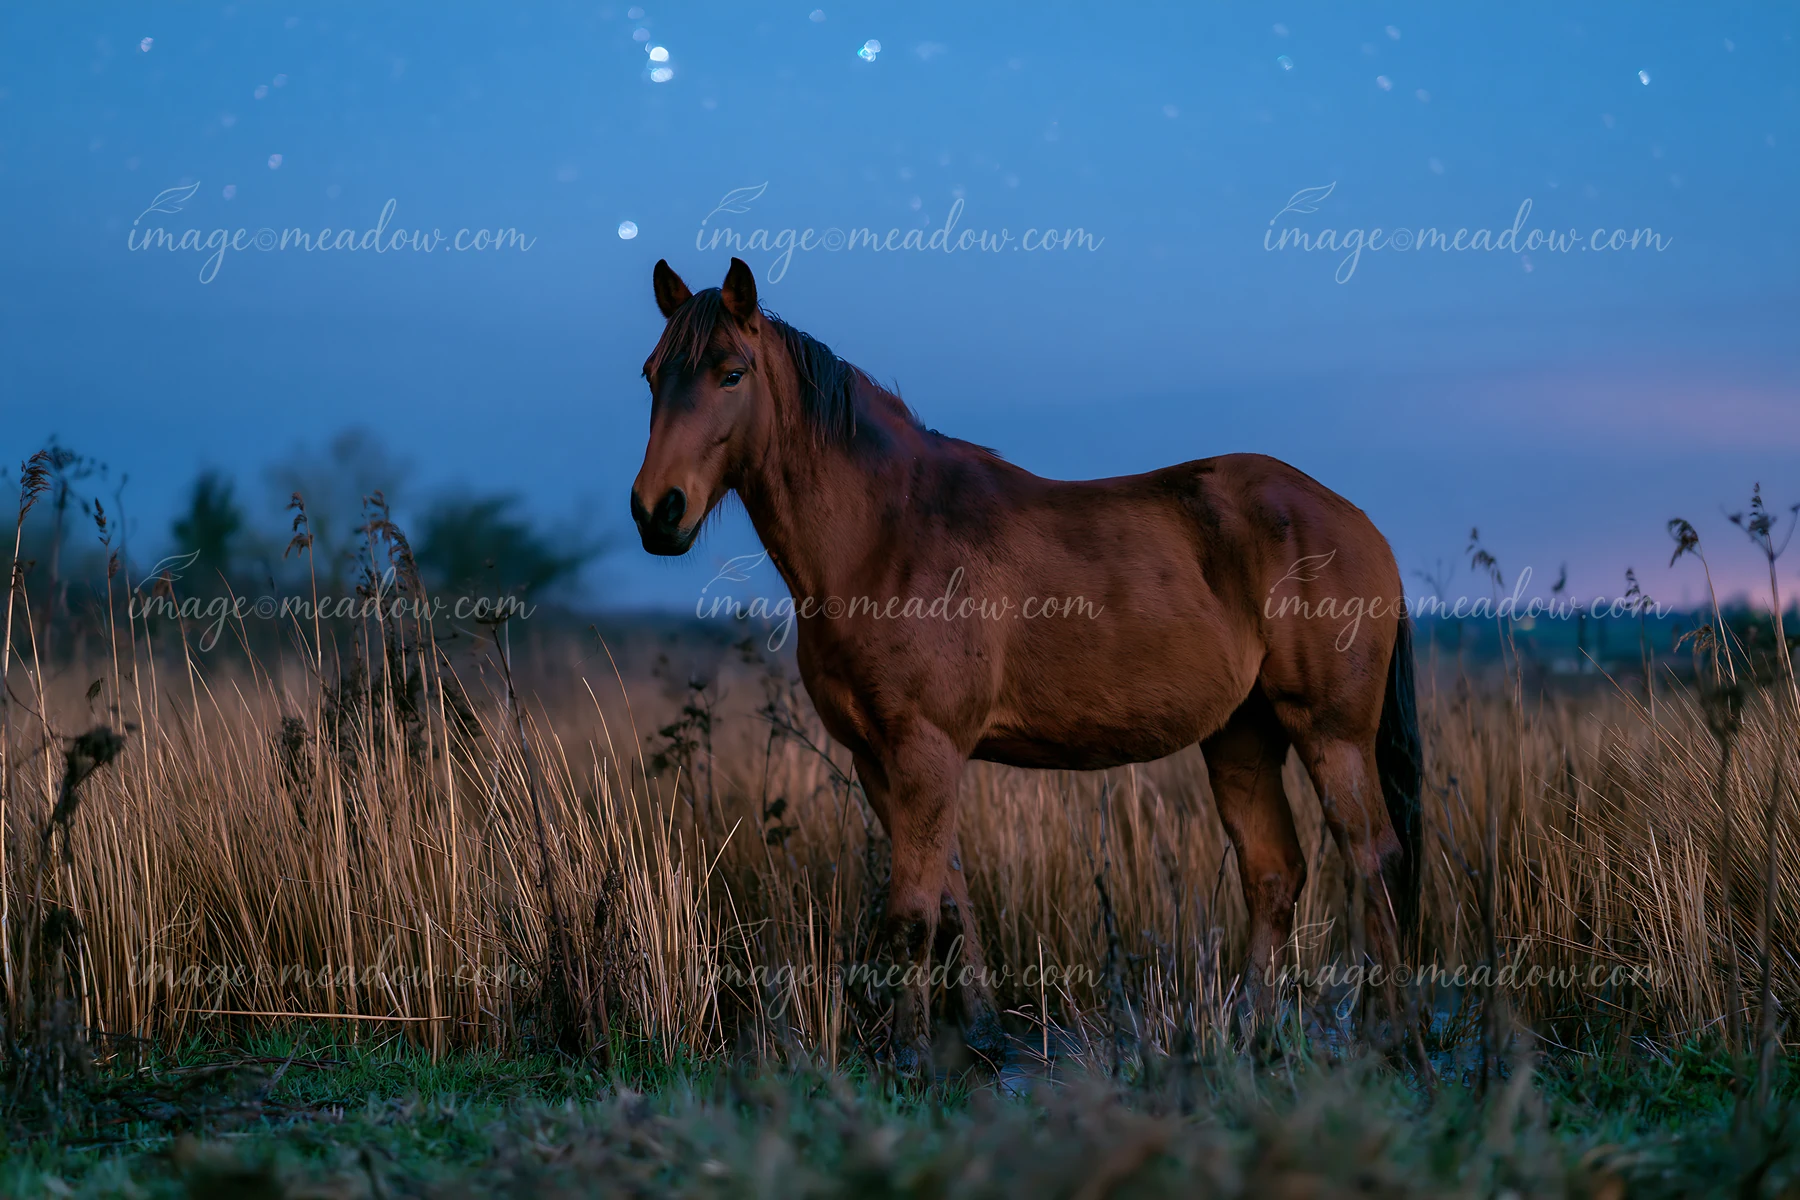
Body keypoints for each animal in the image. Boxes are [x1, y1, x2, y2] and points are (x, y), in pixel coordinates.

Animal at [630, 257, 1422, 1072]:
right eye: (652, 373)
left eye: (731, 373)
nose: (659, 511)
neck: (887, 534)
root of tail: (1360, 525)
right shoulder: (878, 759)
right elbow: (949, 900)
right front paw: (979, 1035)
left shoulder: (926, 750)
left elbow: (912, 912)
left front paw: (908, 1056)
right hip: (1242, 734)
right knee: (1273, 874)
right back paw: (1249, 1034)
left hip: (1331, 735)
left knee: (1375, 860)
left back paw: (1386, 1035)